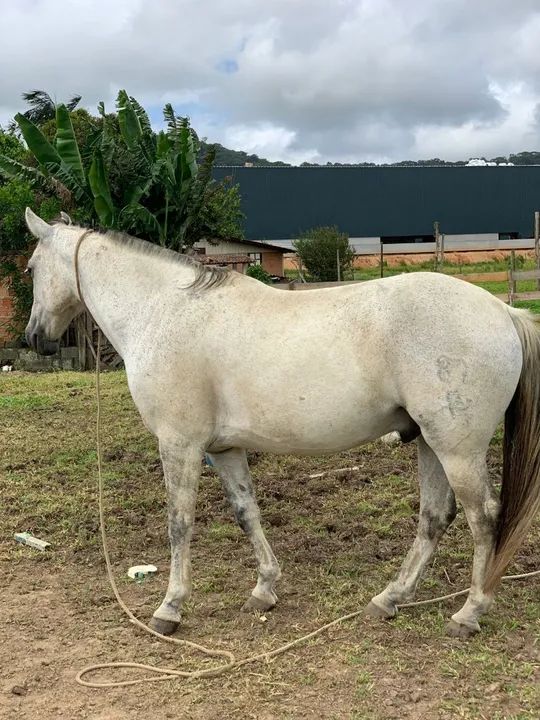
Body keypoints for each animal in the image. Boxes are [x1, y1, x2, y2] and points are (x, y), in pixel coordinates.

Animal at [23, 207, 540, 639]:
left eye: (29, 268)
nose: (34, 337)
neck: (163, 309)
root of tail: (504, 311)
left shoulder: (179, 444)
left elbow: (179, 523)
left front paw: (170, 608)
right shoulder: (223, 450)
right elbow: (246, 512)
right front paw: (264, 589)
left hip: (457, 450)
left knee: (483, 518)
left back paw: (469, 613)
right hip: (431, 443)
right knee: (435, 518)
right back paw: (389, 600)